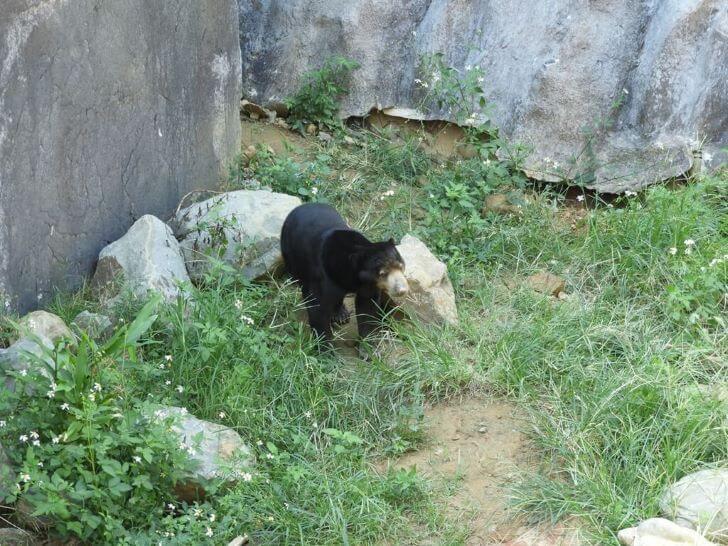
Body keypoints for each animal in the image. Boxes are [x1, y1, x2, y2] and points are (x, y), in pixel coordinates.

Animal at [282, 202, 410, 342]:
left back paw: (340, 315)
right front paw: (325, 345)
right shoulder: (324, 277)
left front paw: (367, 344)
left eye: (401, 266)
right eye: (382, 273)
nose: (402, 290)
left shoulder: (368, 285)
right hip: (292, 256)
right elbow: (317, 307)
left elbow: (367, 308)